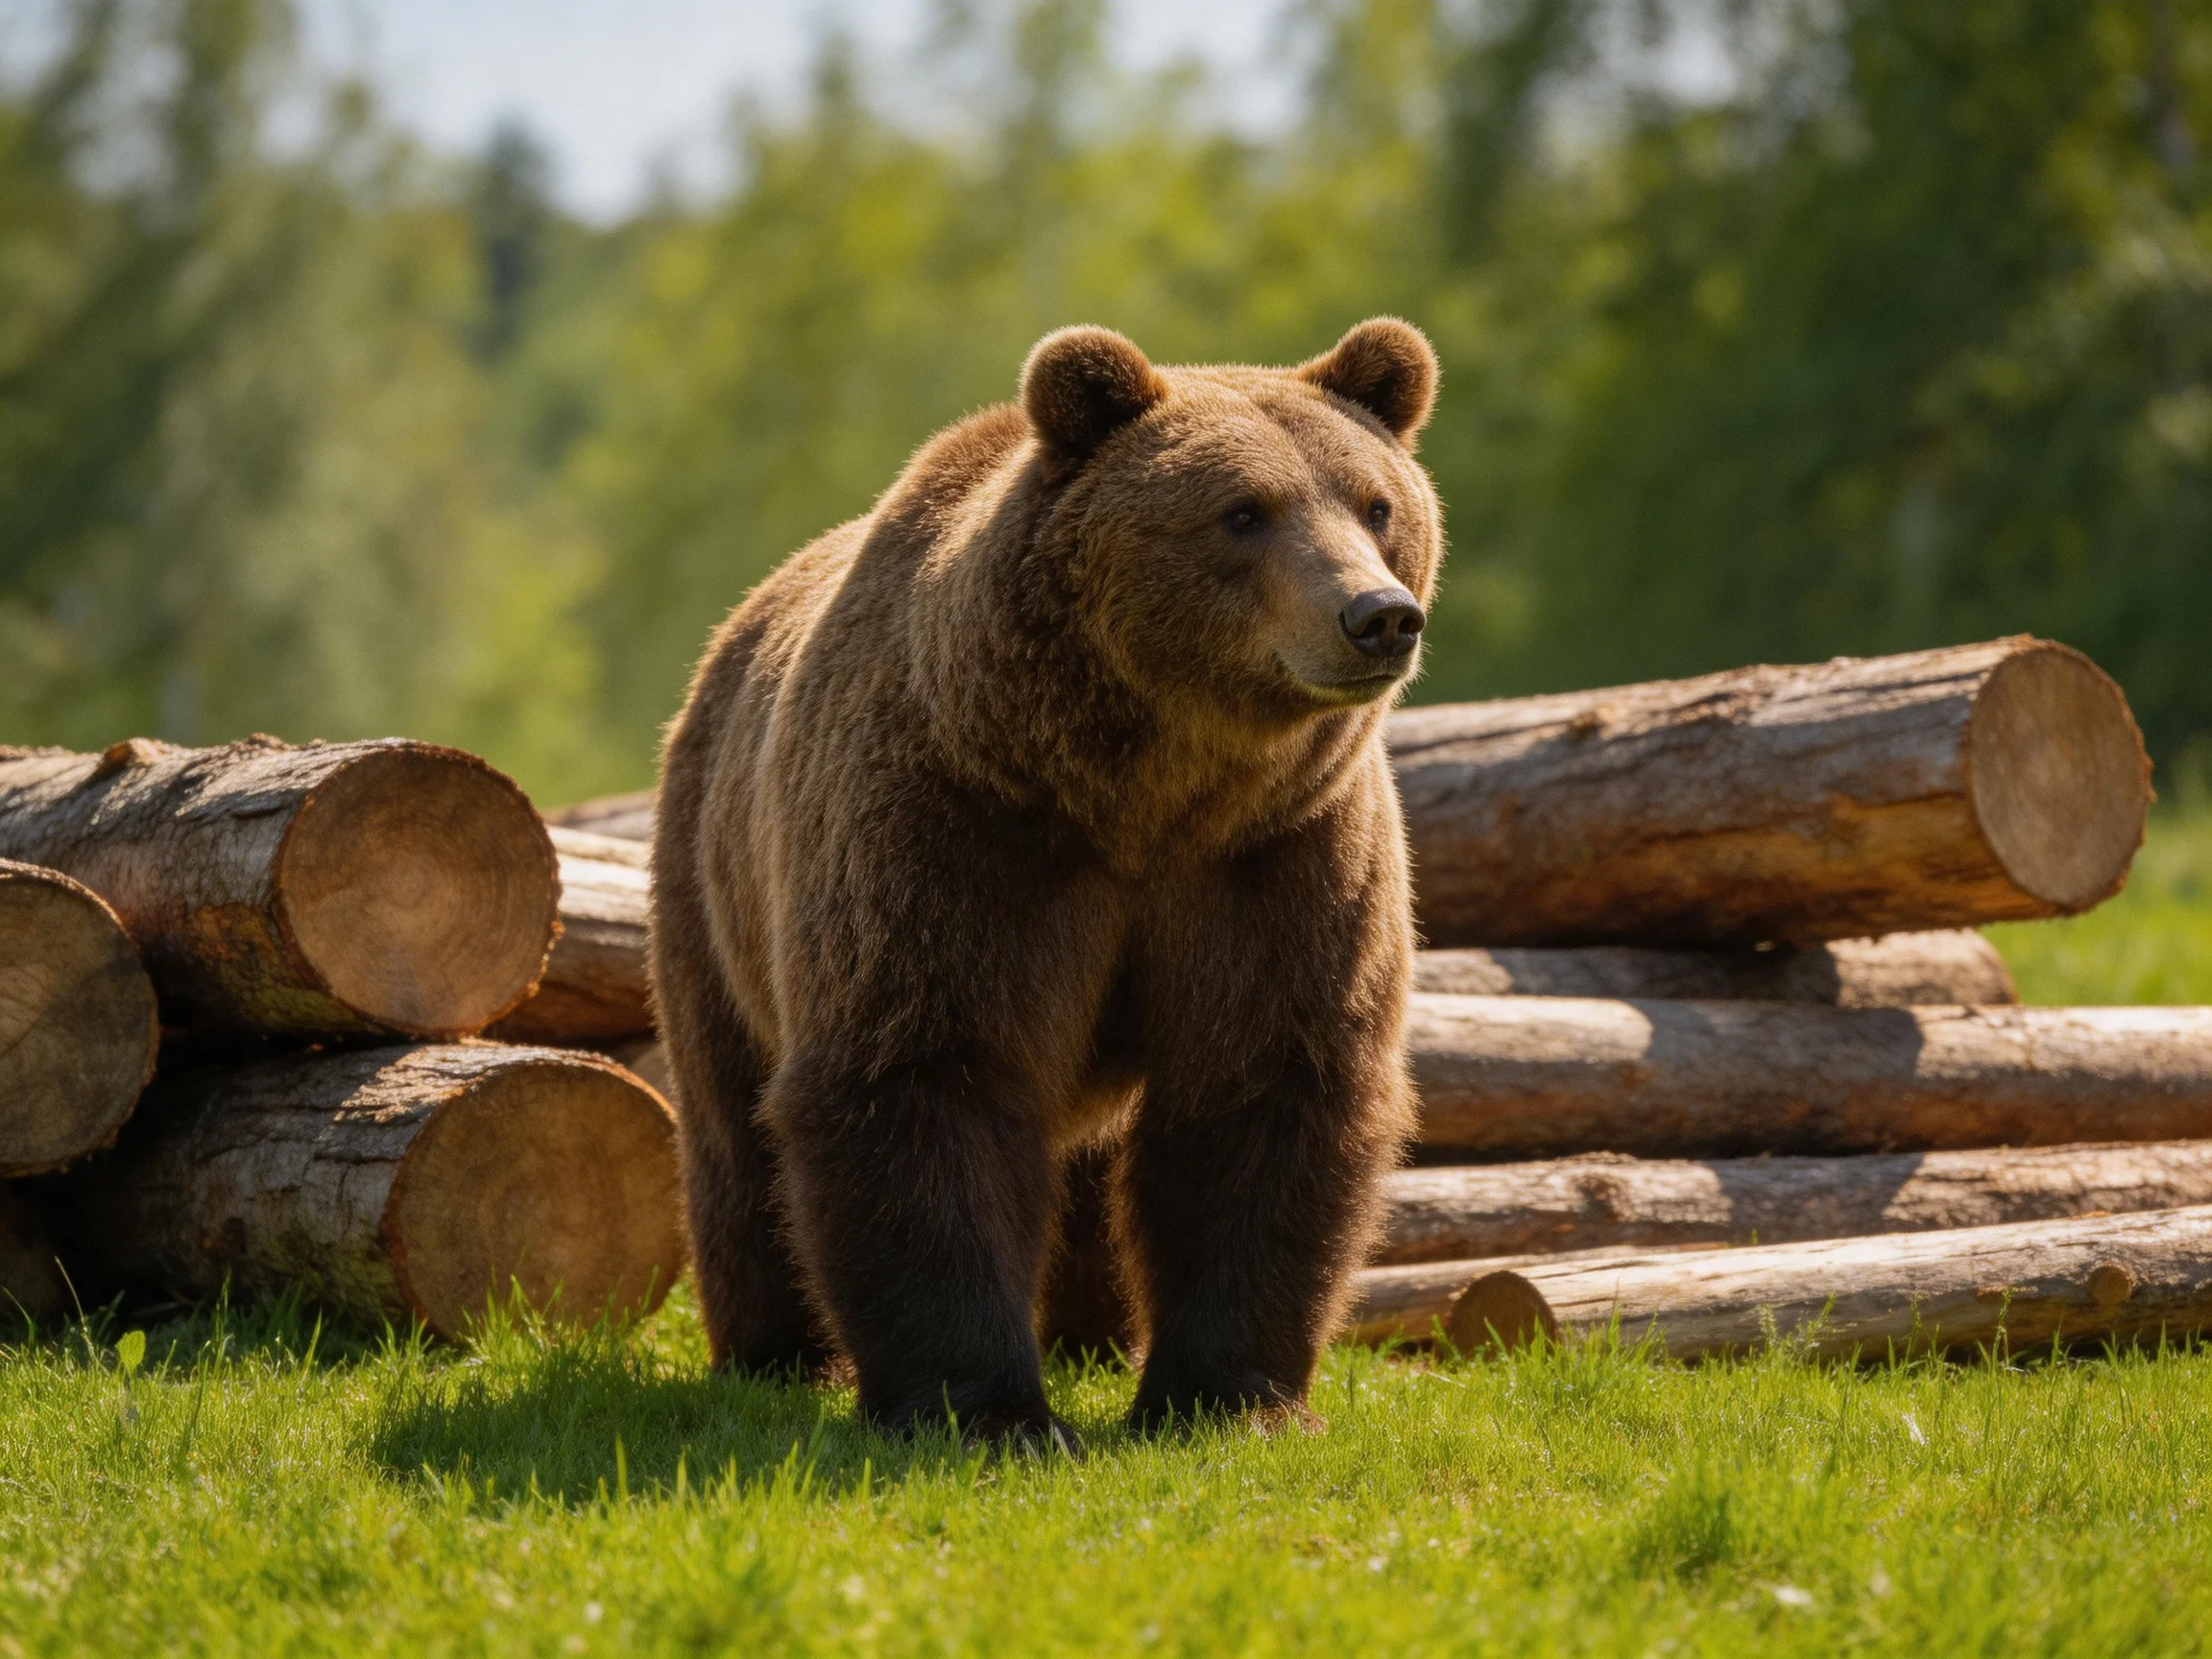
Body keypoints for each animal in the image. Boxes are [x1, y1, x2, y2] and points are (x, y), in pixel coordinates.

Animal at [650, 317, 1443, 1447]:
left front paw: (1227, 1399)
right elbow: (931, 1072)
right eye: (1243, 512)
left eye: (1377, 504)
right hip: (714, 881)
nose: (1378, 615)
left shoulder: (1273, 857)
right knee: (735, 1126)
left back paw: (1090, 1338)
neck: (1143, 793)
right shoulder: (961, 831)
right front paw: (985, 1411)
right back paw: (776, 1357)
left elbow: (1262, 1087)